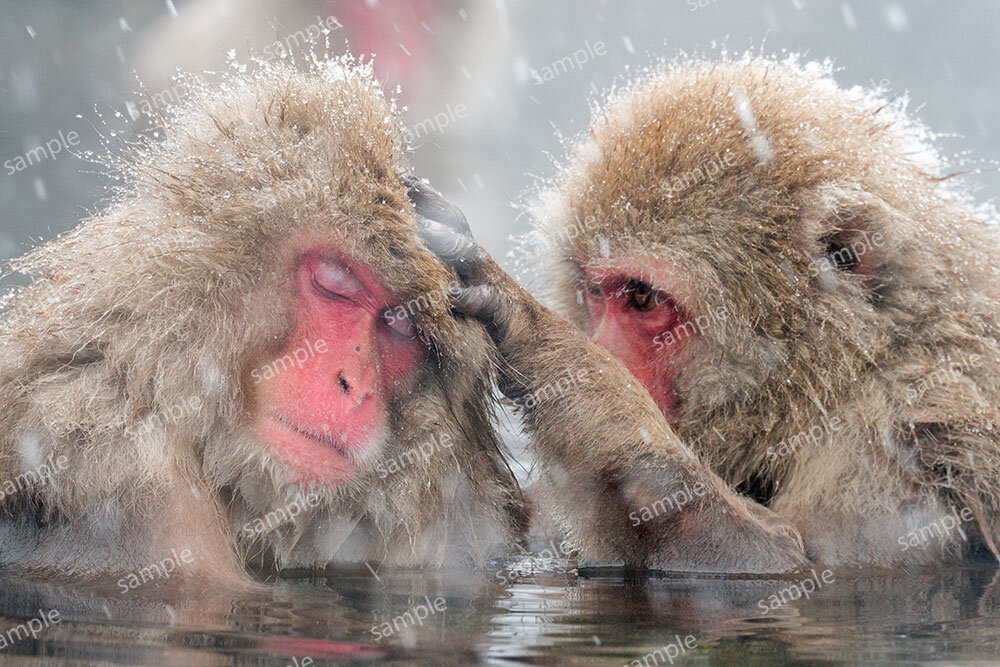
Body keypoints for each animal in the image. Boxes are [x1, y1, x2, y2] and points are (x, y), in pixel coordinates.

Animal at [418, 54, 1000, 572]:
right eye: (592, 291)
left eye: (644, 298)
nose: (603, 349)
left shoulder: (899, 436)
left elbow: (789, 562)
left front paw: (541, 340)